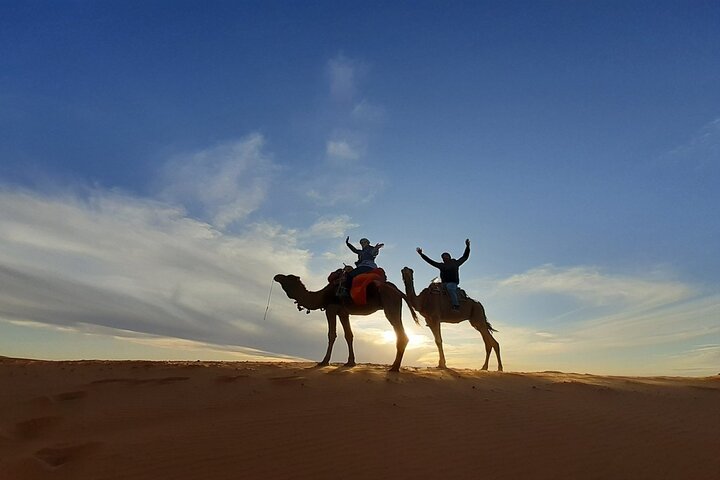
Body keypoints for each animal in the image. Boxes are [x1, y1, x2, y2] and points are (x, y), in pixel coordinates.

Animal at [273, 271, 419, 372]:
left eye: (288, 278)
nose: (276, 276)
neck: (322, 296)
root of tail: (399, 291)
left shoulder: (331, 309)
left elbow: (331, 335)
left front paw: (324, 362)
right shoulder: (343, 313)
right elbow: (349, 335)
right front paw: (350, 362)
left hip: (389, 303)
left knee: (402, 334)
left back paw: (394, 367)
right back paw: (394, 366)